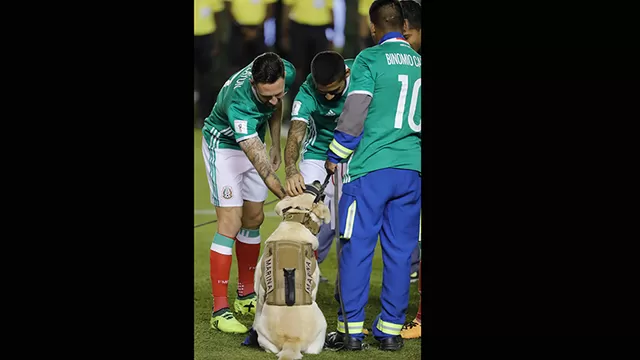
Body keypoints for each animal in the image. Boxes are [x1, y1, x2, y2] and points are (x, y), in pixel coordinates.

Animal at [251, 186, 330, 360]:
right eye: (315, 194)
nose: (317, 182)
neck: (296, 224)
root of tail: (292, 340)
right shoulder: (314, 286)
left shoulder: (260, 290)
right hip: (323, 324)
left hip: (264, 335)